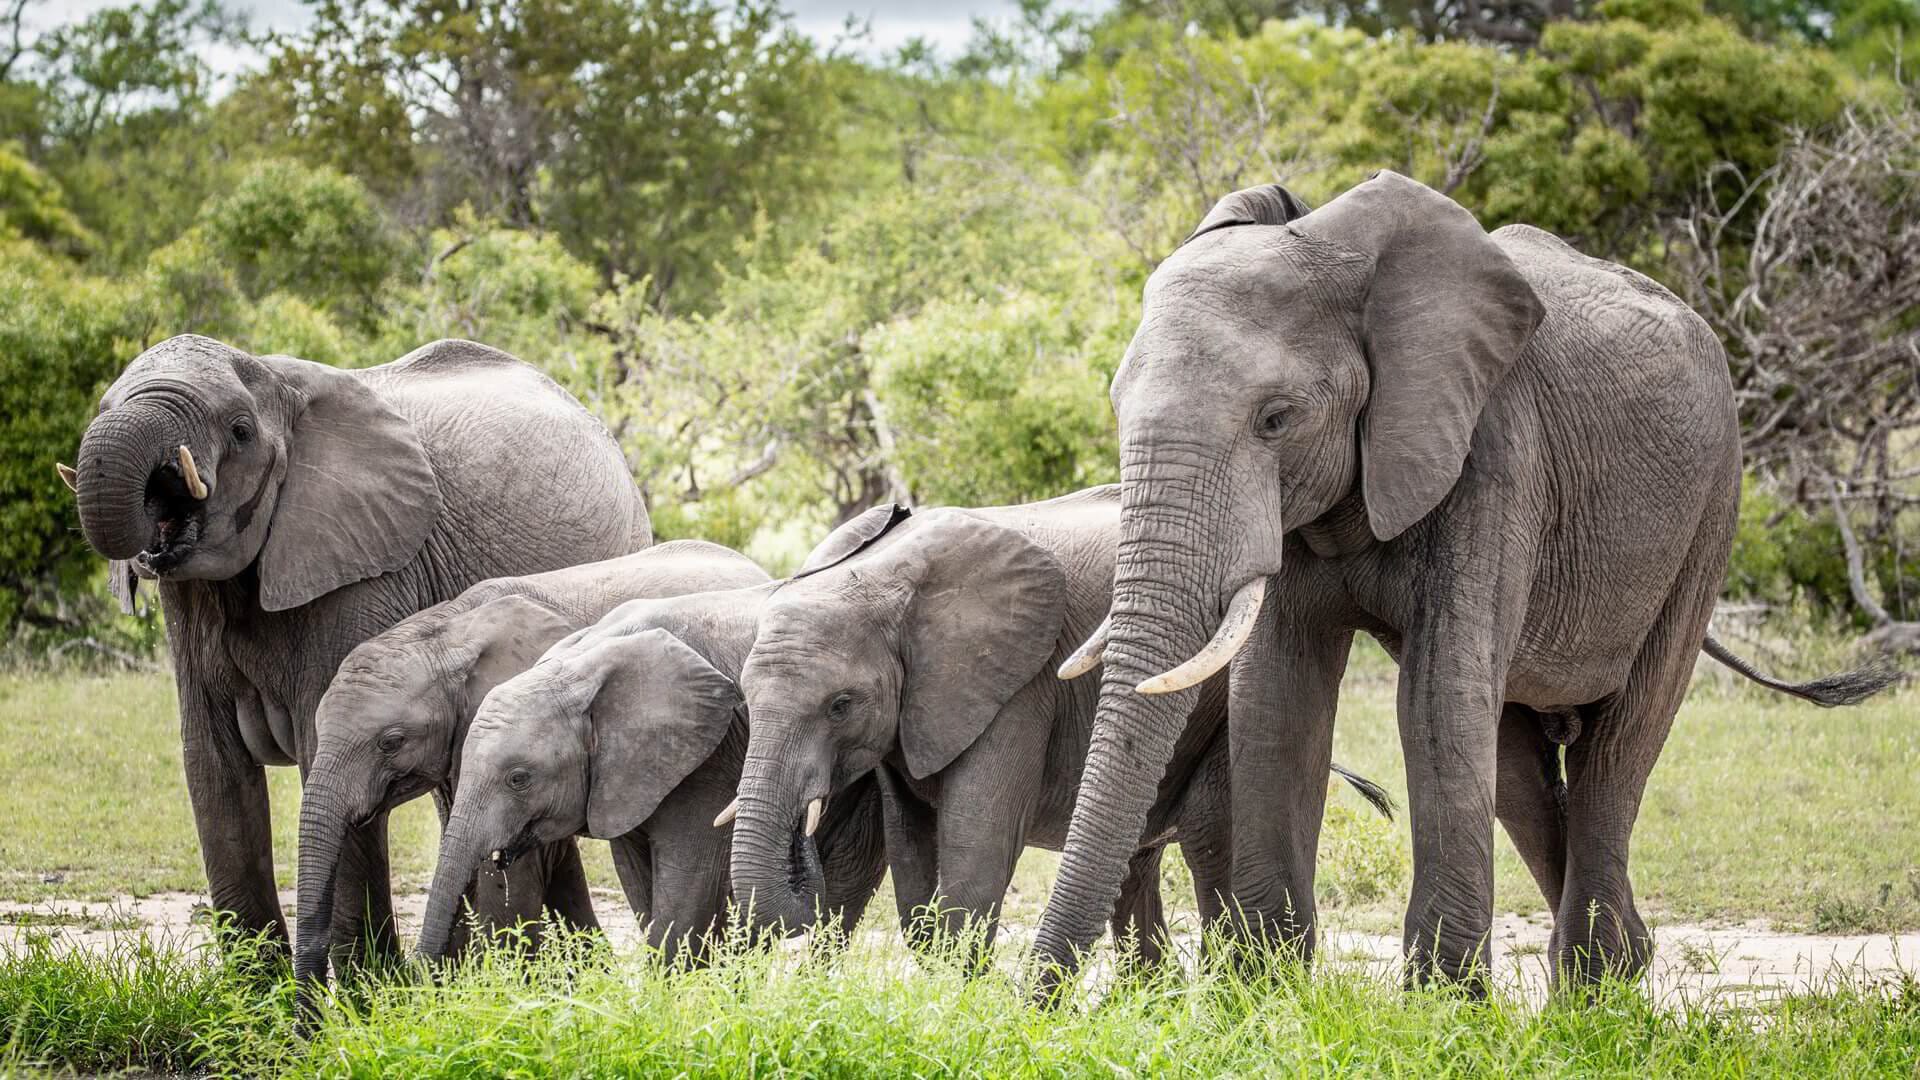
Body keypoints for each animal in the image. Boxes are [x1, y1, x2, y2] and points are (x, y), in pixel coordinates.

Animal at [58, 334, 650, 966]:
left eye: (240, 430)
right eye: (103, 406)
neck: (280, 384)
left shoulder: (362, 570)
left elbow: (325, 752)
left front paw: (368, 990)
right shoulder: (189, 602)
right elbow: (214, 766)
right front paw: (257, 994)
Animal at [415, 585, 888, 965]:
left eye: (519, 778)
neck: (581, 667)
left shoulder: (710, 759)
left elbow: (687, 886)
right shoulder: (621, 778)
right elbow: (641, 886)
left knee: (844, 894)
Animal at [725, 488, 1392, 967]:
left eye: (840, 705)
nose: (802, 834)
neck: (881, 575)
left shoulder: (1020, 683)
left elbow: (977, 852)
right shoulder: (912, 718)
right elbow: (913, 862)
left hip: (1221, 716)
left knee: (1210, 846)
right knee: (1135, 864)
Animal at [1028, 172, 1900, 991]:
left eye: (1276, 419)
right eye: (1117, 406)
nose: (1040, 1004)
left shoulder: (1494, 452)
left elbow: (1435, 697)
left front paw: (1442, 1006)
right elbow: (1278, 696)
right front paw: (1265, 996)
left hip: (1711, 511)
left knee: (1621, 743)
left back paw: (1595, 989)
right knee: (1516, 768)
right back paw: (1625, 964)